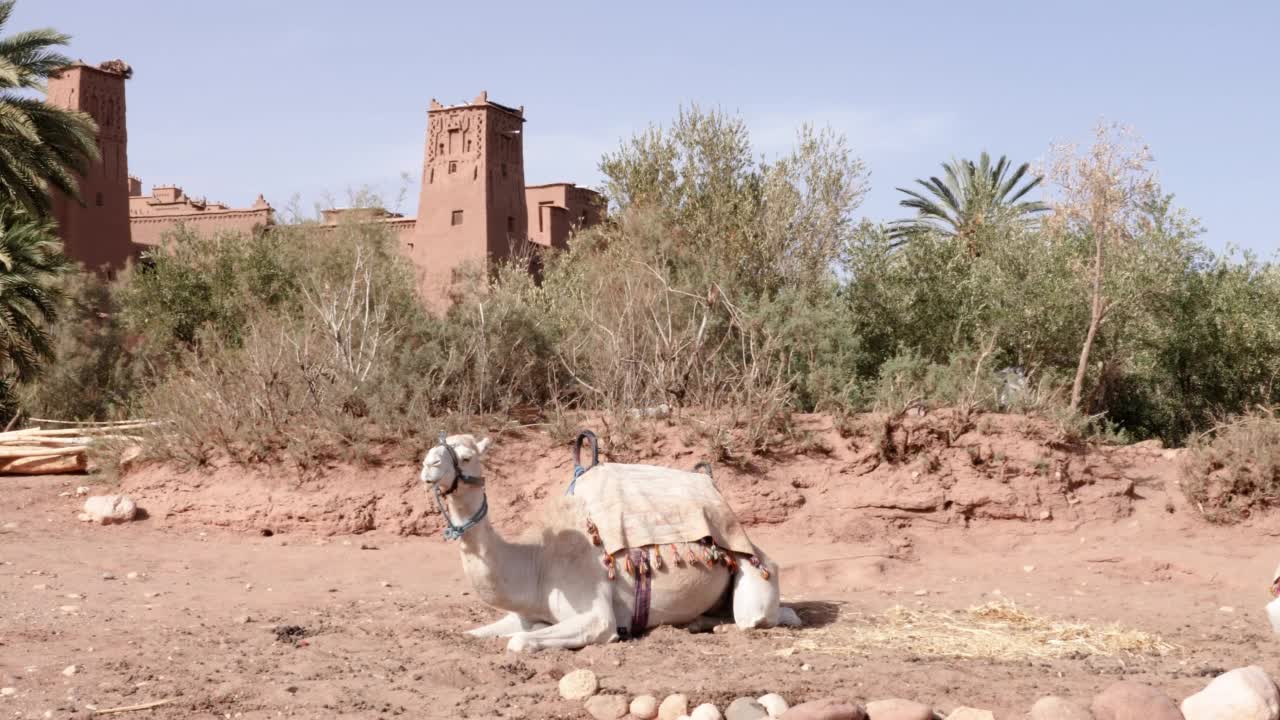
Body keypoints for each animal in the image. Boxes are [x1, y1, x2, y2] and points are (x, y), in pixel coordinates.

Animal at [422, 430, 798, 650]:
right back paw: (699, 623)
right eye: (436, 446)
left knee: (761, 616)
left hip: (754, 572)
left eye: (467, 456)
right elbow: (477, 633)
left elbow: (519, 642)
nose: (429, 465)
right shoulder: (529, 614)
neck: (535, 564)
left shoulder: (596, 616)